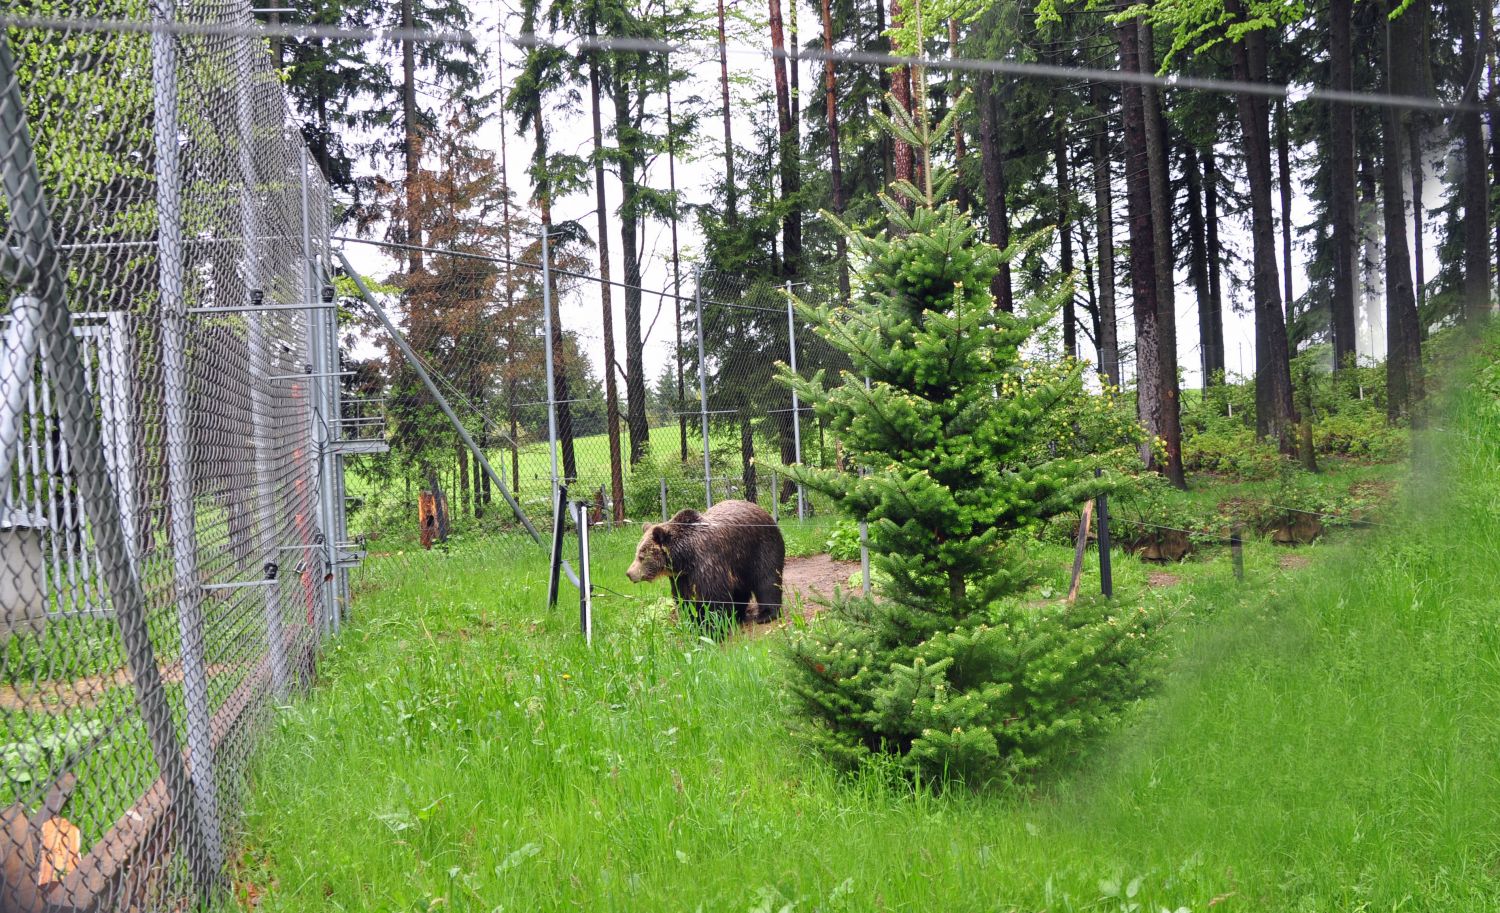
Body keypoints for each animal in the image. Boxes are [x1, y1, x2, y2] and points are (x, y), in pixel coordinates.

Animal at [624, 497, 786, 626]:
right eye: (636, 553)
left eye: (641, 556)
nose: (629, 573)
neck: (686, 558)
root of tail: (761, 509)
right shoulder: (681, 577)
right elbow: (685, 599)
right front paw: (694, 622)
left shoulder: (708, 563)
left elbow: (714, 598)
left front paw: (711, 626)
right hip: (739, 563)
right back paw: (738, 615)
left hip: (761, 547)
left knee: (767, 579)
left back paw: (765, 615)